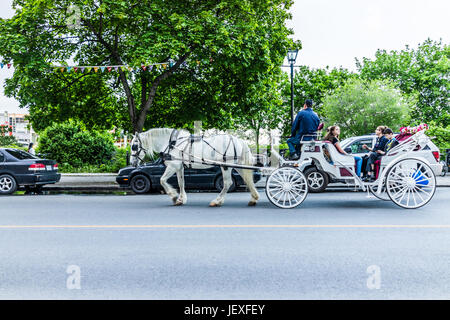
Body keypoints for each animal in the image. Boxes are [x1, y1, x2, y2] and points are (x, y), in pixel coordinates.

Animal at [130, 128, 258, 206]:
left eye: (134, 146)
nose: (132, 163)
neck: (173, 143)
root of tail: (238, 140)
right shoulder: (179, 167)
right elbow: (181, 183)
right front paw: (181, 199)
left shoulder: (173, 166)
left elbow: (162, 180)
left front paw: (174, 197)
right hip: (237, 166)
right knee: (248, 180)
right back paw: (253, 198)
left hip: (225, 166)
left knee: (227, 183)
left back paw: (217, 201)